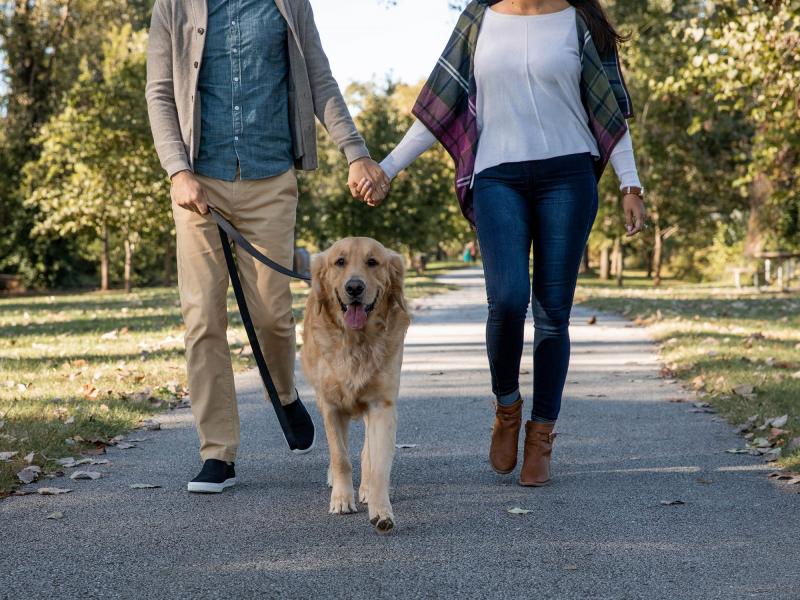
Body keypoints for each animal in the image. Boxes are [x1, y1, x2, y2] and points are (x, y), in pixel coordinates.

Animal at [302, 237, 410, 532]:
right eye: (340, 262)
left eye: (372, 262)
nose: (354, 287)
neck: (357, 341)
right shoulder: (331, 406)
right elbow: (340, 458)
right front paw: (341, 499)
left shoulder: (382, 405)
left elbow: (378, 464)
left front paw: (381, 510)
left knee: (366, 454)